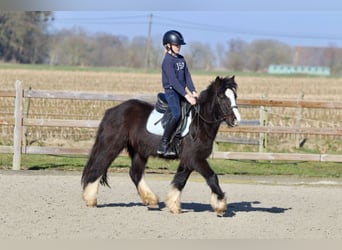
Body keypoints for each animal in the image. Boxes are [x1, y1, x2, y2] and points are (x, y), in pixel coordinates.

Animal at [81, 75, 240, 216]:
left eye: (235, 96)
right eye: (221, 96)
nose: (236, 120)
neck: (199, 123)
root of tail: (112, 111)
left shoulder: (188, 160)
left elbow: (180, 181)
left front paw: (174, 205)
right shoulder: (195, 159)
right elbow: (212, 177)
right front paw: (220, 206)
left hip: (139, 152)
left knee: (135, 173)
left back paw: (150, 200)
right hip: (112, 145)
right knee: (98, 167)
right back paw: (90, 199)